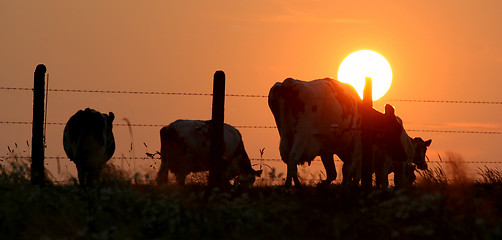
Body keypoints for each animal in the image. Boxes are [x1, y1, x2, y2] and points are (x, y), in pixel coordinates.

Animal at [266, 78, 408, 188]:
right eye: (396, 129)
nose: (403, 155)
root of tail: (288, 82)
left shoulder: (325, 147)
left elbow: (333, 172)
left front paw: (324, 184)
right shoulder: (356, 146)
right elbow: (350, 170)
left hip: (284, 133)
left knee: (289, 159)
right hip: (302, 134)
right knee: (293, 157)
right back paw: (292, 187)